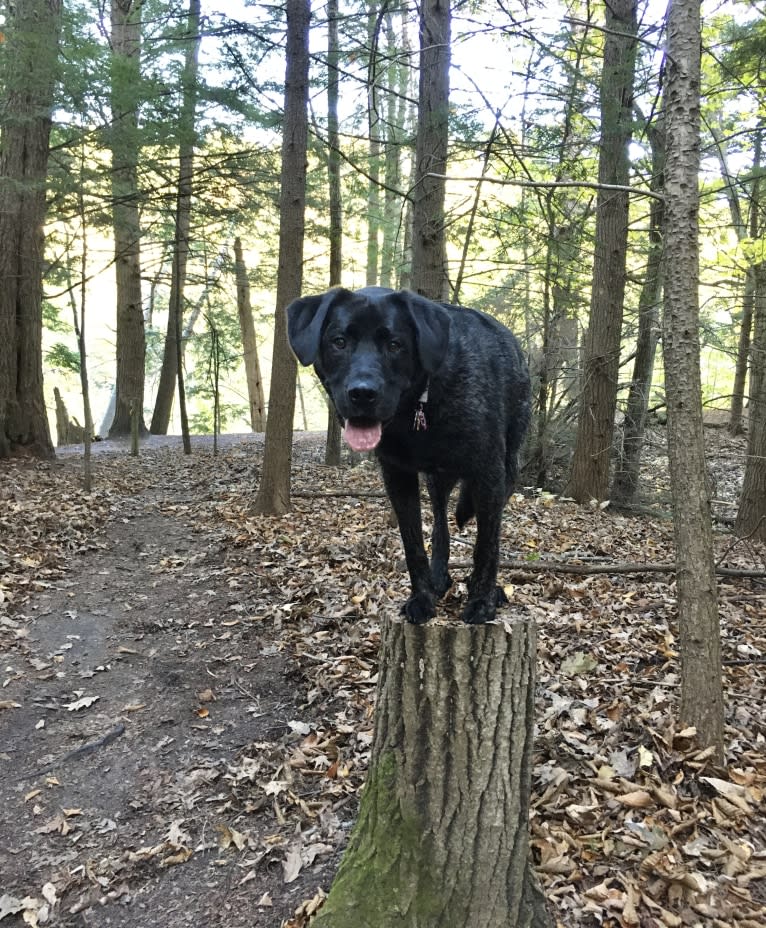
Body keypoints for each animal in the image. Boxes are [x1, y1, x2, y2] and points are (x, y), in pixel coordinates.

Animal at [288, 286, 536, 628]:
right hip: (436, 480)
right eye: (339, 341)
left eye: (395, 345)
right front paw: (422, 598)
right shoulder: (397, 476)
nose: (362, 393)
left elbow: (487, 545)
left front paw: (482, 600)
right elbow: (414, 544)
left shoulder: (489, 475)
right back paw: (439, 577)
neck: (417, 411)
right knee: (441, 526)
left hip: (508, 469)